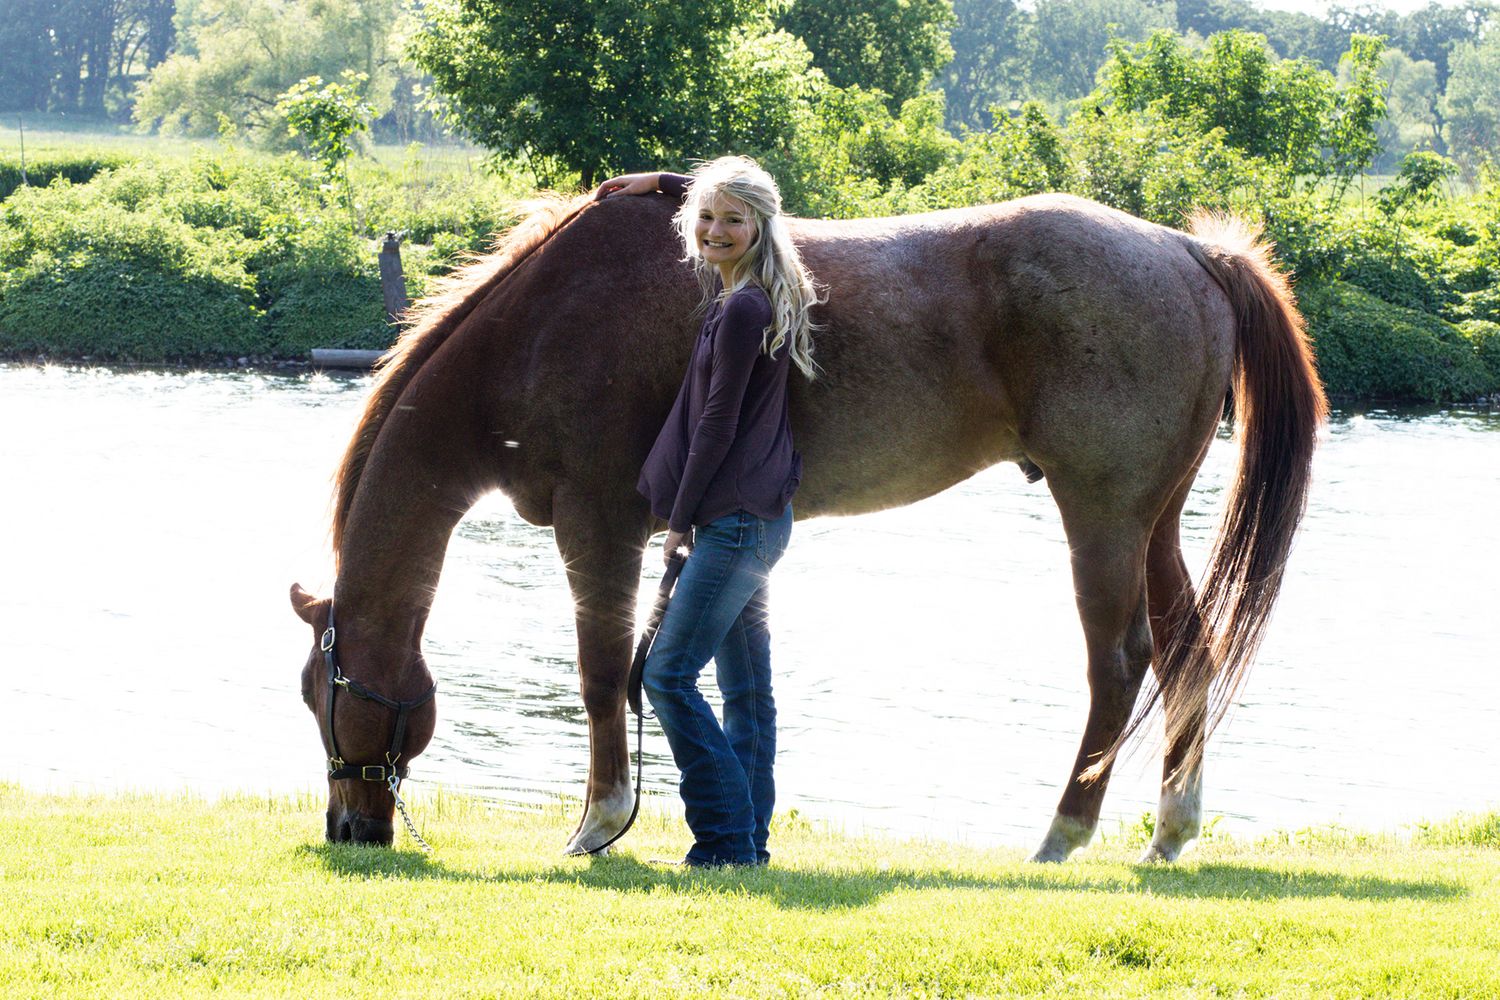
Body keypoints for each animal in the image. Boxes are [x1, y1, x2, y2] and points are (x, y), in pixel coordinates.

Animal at [290, 188, 1325, 860]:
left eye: (319, 695)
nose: (348, 830)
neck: (546, 321)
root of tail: (1188, 253)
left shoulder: (601, 526)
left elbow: (600, 676)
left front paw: (598, 823)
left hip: (1102, 515)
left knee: (1119, 665)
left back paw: (1062, 837)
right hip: (1153, 520)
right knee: (1191, 654)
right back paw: (1171, 834)